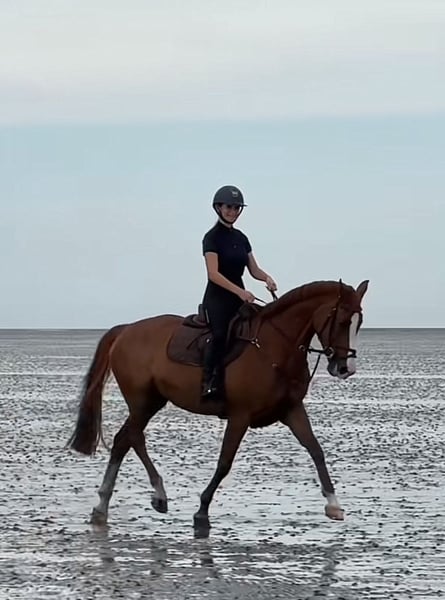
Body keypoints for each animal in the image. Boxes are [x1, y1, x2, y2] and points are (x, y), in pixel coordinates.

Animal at [67, 278, 369, 537]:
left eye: (359, 323)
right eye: (343, 321)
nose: (346, 368)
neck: (276, 348)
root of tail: (127, 329)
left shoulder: (292, 410)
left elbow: (316, 450)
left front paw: (333, 504)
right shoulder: (240, 416)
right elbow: (225, 462)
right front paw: (202, 511)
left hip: (152, 401)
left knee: (125, 440)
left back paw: (112, 505)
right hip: (142, 401)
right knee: (131, 438)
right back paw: (145, 497)